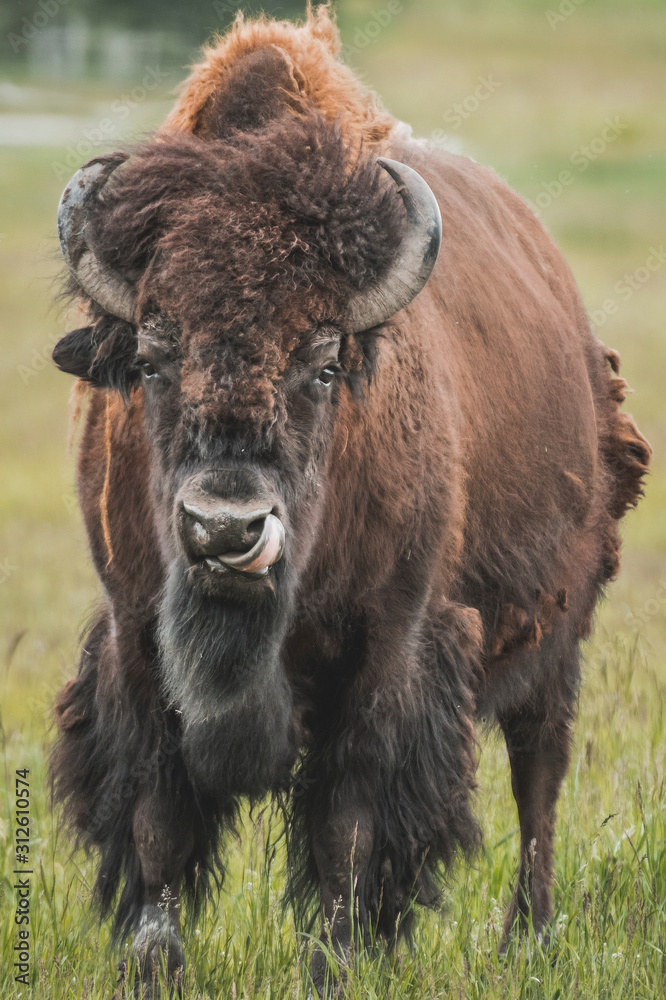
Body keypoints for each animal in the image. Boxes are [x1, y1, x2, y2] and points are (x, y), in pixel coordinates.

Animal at [50, 5, 648, 992]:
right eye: (151, 358)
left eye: (325, 360)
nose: (225, 528)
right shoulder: (136, 636)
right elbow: (158, 819)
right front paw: (156, 964)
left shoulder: (388, 645)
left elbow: (348, 826)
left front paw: (333, 964)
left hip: (556, 632)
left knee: (539, 775)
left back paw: (528, 936)